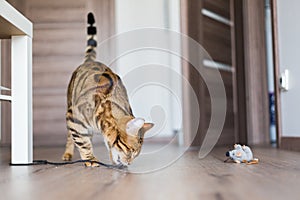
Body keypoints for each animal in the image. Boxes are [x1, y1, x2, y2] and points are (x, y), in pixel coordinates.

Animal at [61, 12, 154, 167]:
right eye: (130, 150)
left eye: (136, 154)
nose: (129, 163)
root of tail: (90, 61)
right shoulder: (74, 118)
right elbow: (82, 142)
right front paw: (90, 159)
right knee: (70, 136)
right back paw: (67, 154)